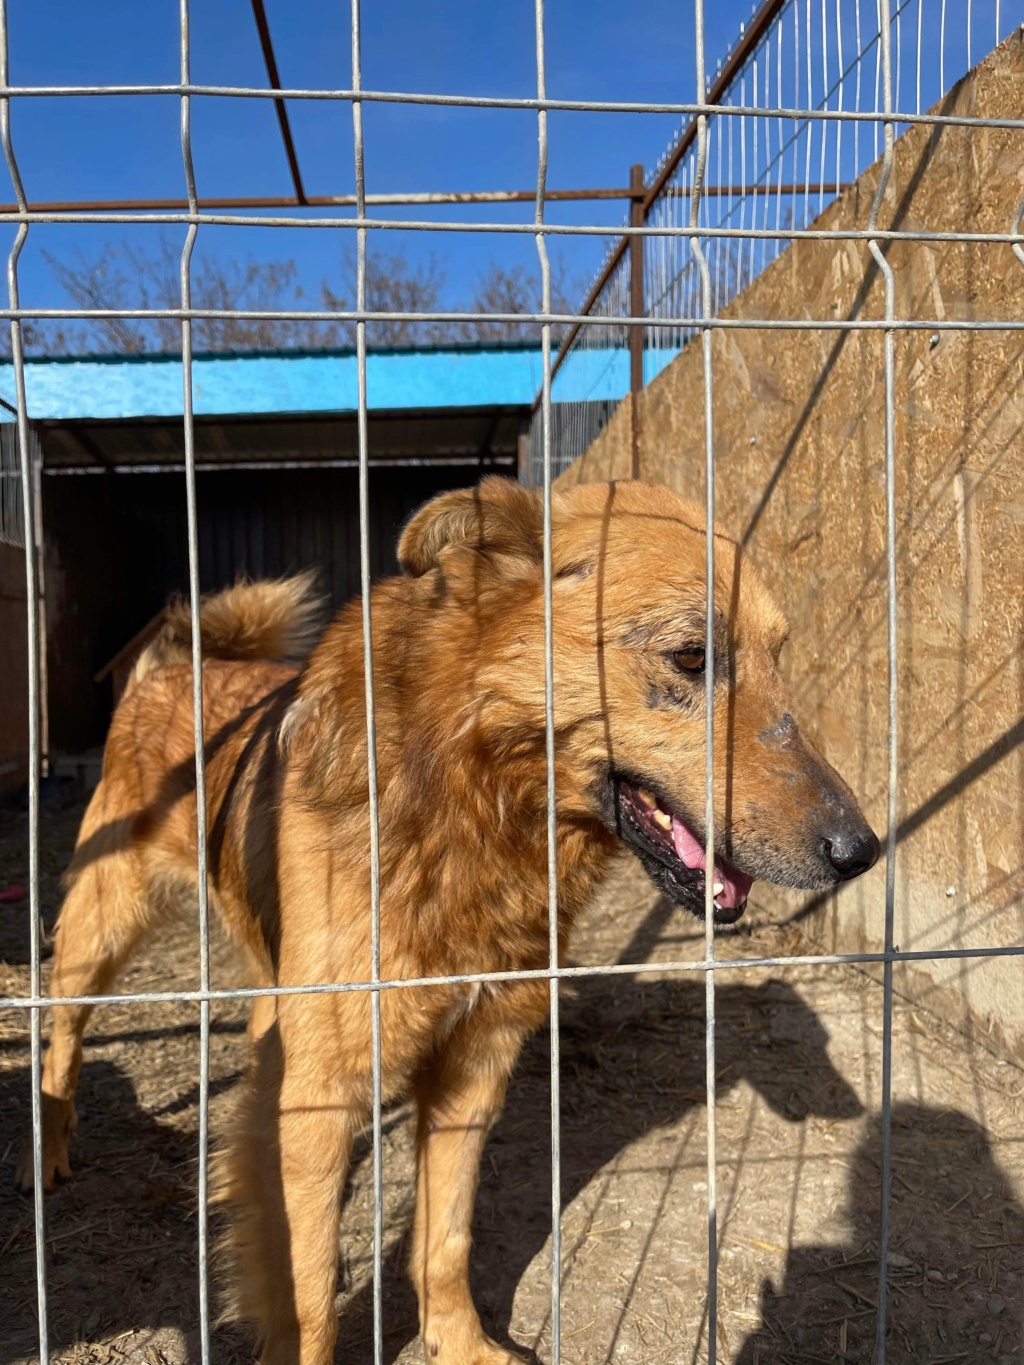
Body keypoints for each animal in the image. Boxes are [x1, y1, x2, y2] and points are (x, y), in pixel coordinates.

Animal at [20, 480, 879, 1365]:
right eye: (691, 656)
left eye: (779, 655)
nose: (861, 850)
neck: (469, 799)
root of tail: (172, 669)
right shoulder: (324, 1092)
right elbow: (309, 1293)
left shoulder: (473, 1068)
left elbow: (444, 1239)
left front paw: (458, 1342)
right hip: (99, 930)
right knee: (62, 1037)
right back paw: (48, 1148)